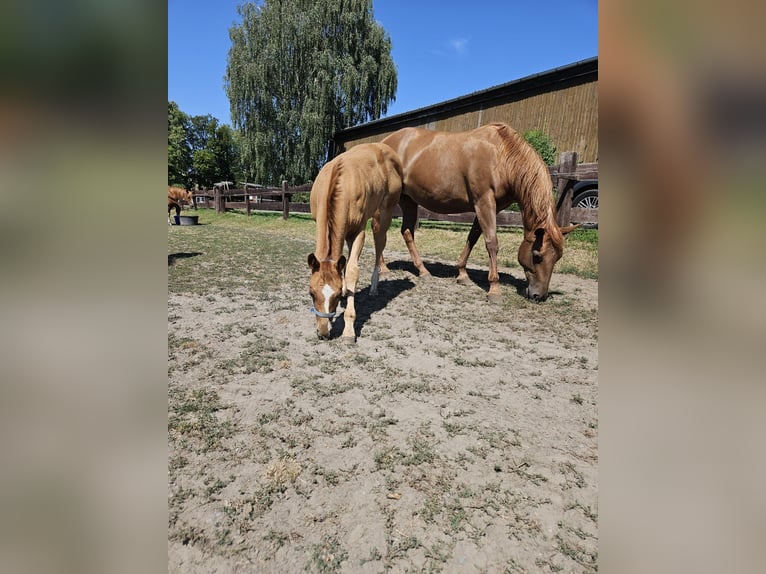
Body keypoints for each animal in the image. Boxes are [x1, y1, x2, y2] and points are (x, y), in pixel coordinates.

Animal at [308, 142, 403, 342]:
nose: (323, 333)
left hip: (383, 214)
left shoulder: (358, 231)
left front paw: (349, 330)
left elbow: (352, 271)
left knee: (380, 243)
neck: (339, 183)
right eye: (311, 293)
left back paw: (374, 286)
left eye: (336, 296)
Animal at [381, 122, 578, 302]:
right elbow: (492, 242)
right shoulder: (484, 202)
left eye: (558, 257)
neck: (502, 156)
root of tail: (384, 142)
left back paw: (423, 271)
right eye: (537, 256)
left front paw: (462, 274)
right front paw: (494, 289)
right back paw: (383, 268)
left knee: (407, 232)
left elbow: (473, 237)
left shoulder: (488, 207)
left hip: (409, 201)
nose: (539, 296)